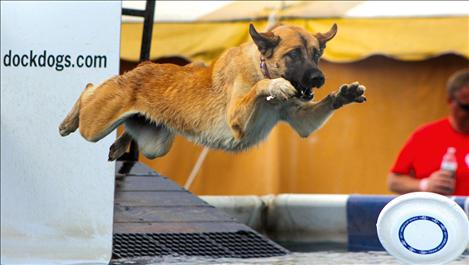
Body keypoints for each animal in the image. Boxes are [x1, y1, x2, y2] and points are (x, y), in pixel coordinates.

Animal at [58, 23, 366, 160]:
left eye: (316, 54)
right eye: (293, 55)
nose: (319, 78)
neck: (261, 66)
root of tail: (140, 69)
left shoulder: (300, 120)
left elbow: (310, 117)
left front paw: (345, 94)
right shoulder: (238, 121)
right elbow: (259, 88)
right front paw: (274, 86)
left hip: (155, 146)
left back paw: (120, 143)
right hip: (95, 125)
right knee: (88, 89)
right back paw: (68, 122)